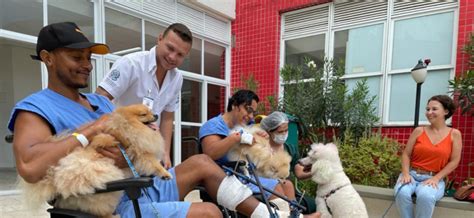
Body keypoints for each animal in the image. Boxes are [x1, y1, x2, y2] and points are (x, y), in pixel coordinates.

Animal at [20, 104, 172, 217]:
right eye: (143, 114)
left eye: (150, 111)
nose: (156, 115)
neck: (128, 125)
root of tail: (55, 181)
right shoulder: (140, 152)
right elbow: (154, 163)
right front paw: (165, 174)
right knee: (100, 211)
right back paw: (111, 216)